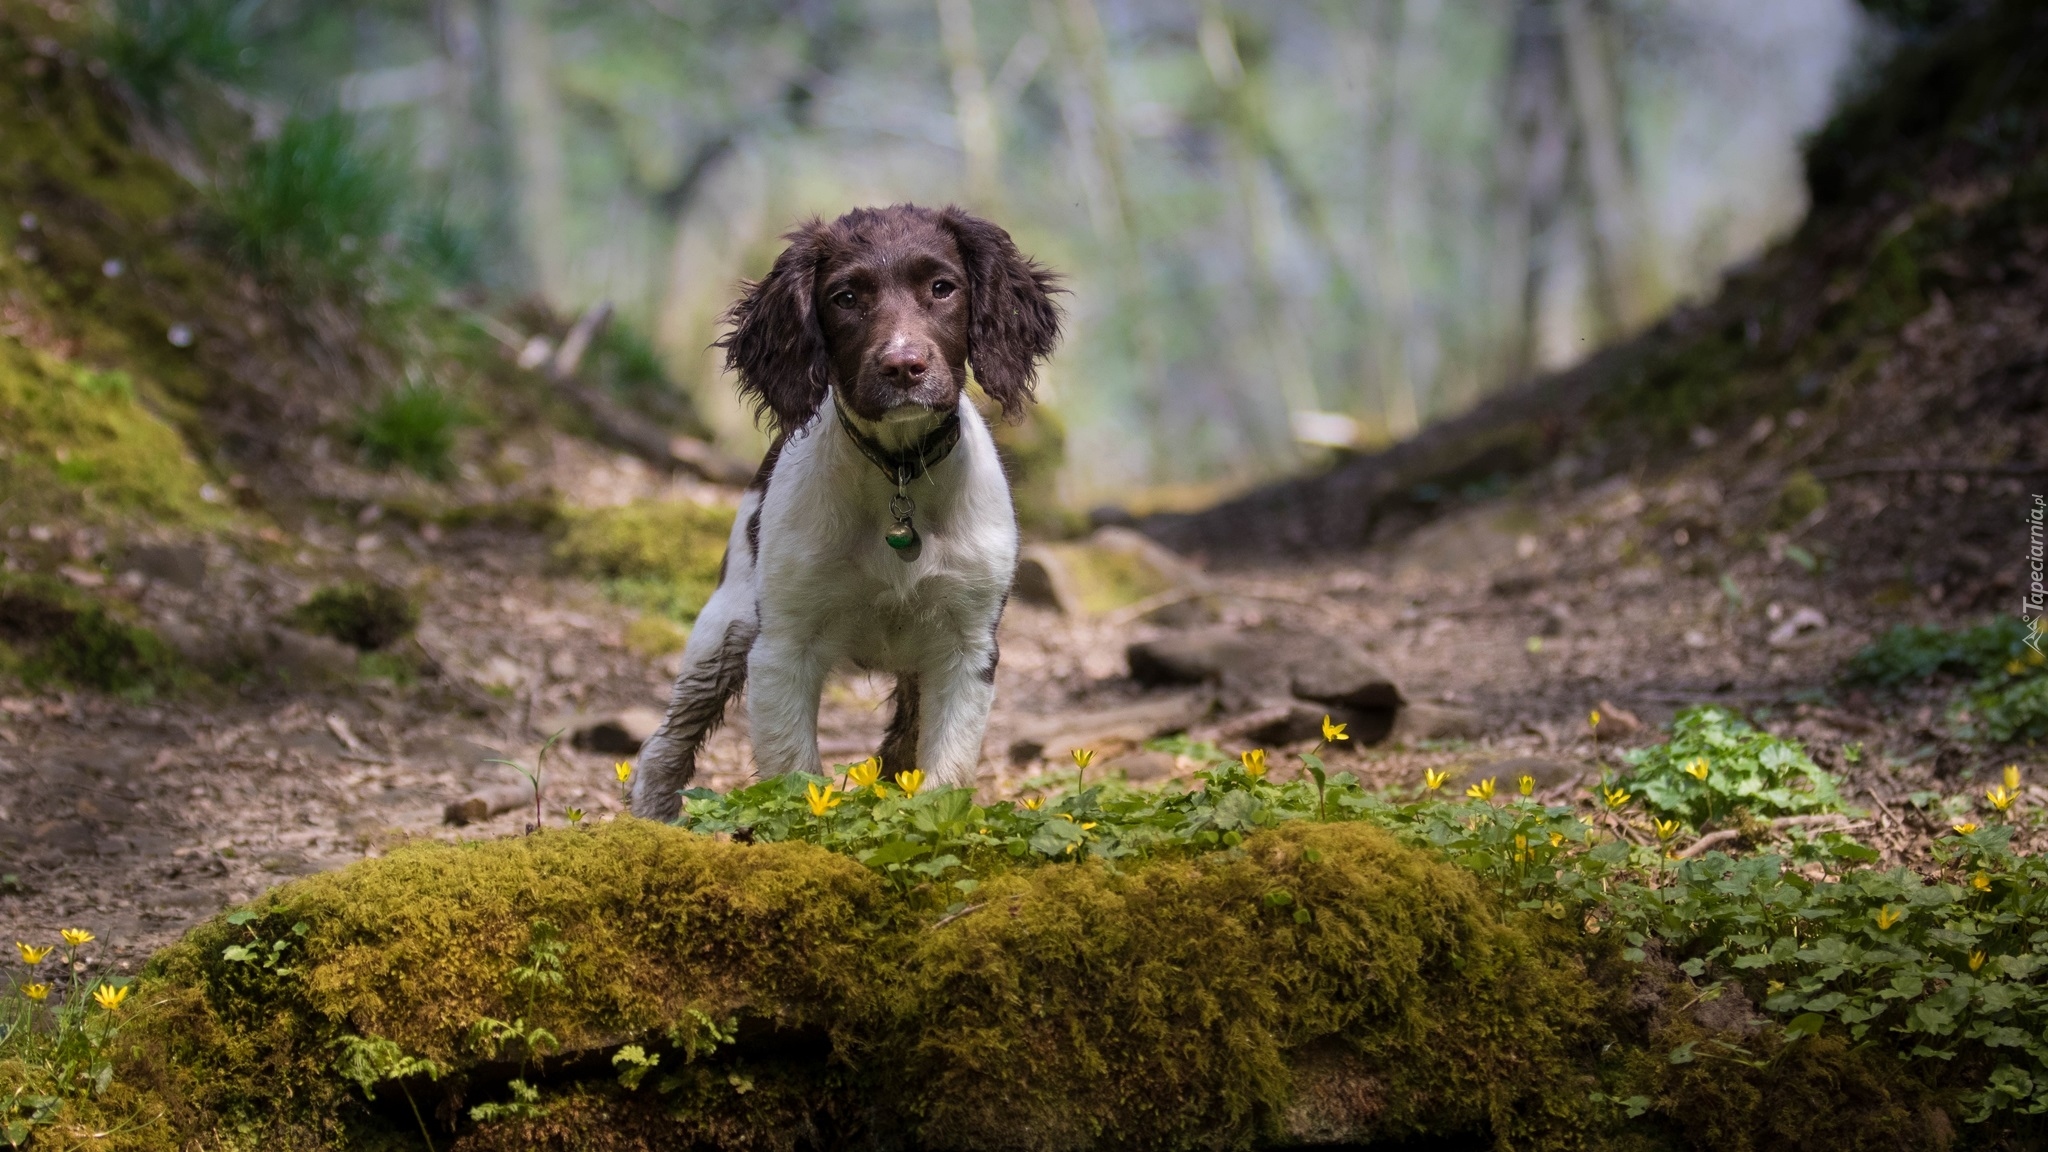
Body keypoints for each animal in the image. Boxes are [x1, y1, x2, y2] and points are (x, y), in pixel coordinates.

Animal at [630, 203, 1064, 815]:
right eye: (845, 298)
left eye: (943, 288)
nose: (904, 365)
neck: (898, 472)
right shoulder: (783, 646)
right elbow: (794, 777)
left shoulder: (968, 647)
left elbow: (944, 776)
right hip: (726, 625)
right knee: (669, 737)